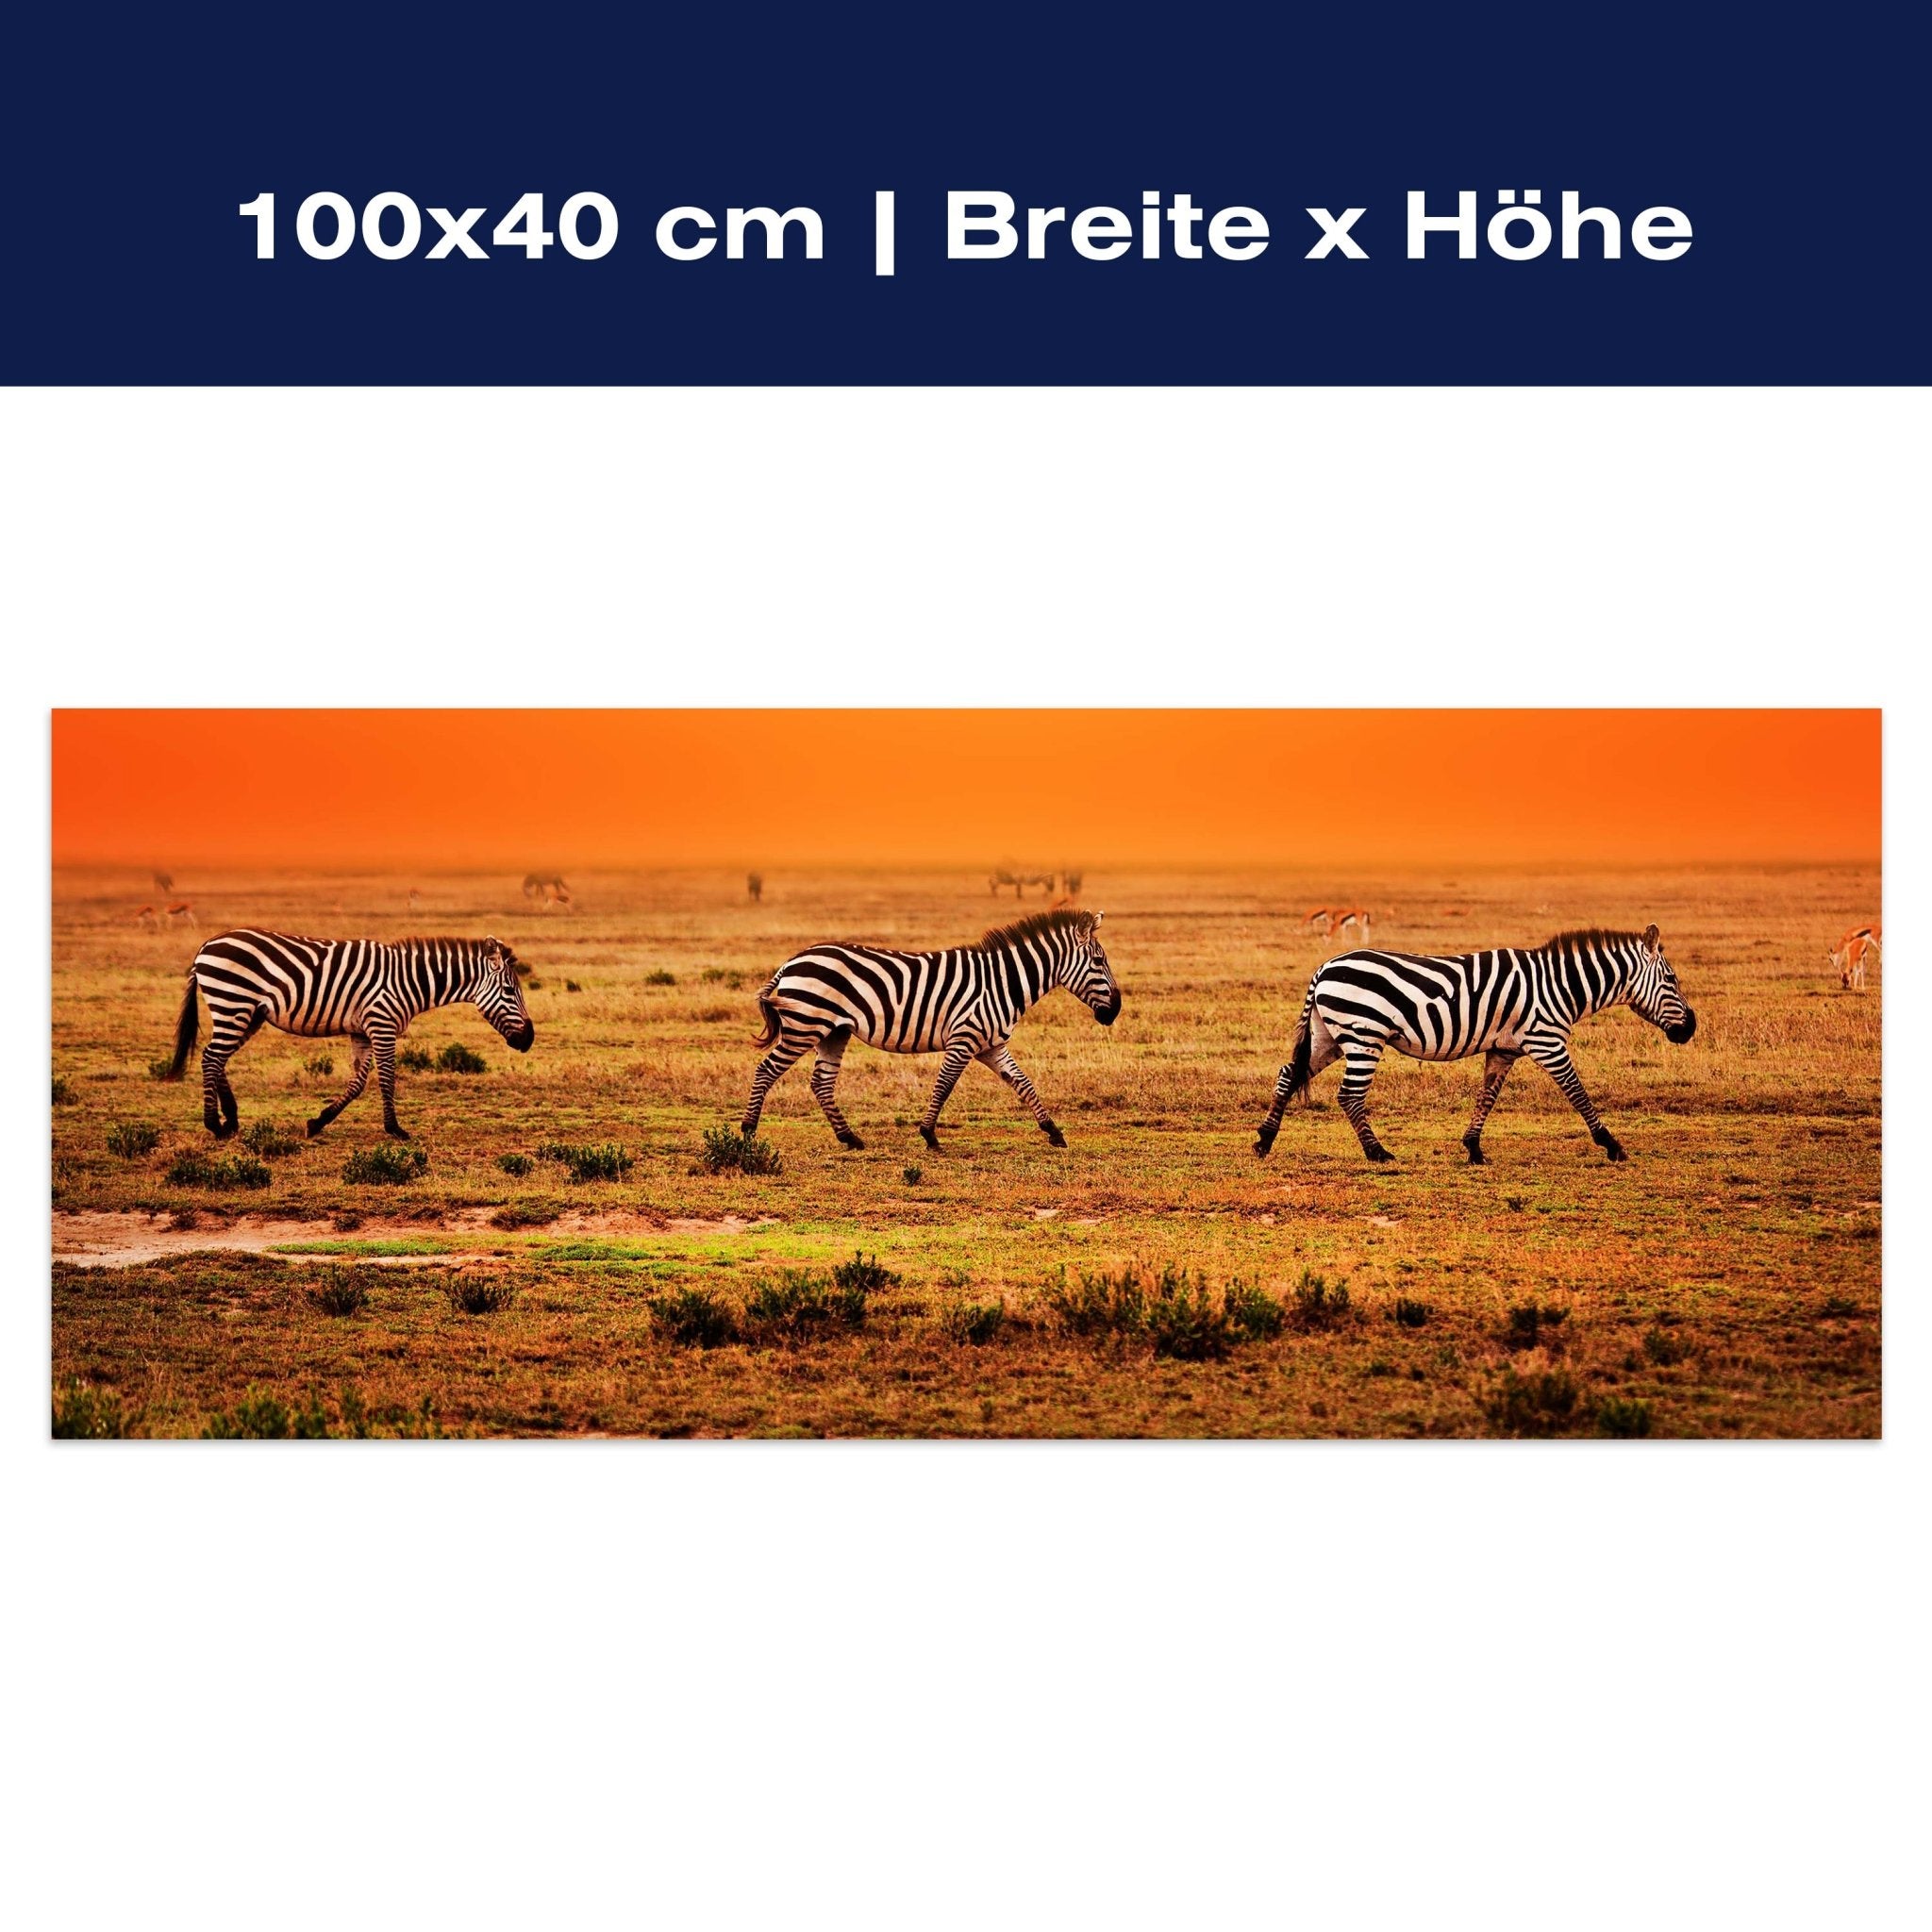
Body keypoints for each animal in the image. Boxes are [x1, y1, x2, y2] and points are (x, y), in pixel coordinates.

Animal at [164, 930, 535, 1140]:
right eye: (508, 990)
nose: (528, 1039)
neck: (409, 981)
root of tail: (206, 945)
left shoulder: (362, 1031)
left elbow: (357, 1083)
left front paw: (318, 1122)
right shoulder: (382, 1025)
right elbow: (387, 1079)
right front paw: (396, 1130)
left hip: (247, 1013)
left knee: (218, 1058)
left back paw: (231, 1120)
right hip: (232, 1002)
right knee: (212, 1057)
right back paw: (214, 1124)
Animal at [740, 907, 1122, 1152]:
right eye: (1099, 961)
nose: (1115, 1010)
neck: (1003, 982)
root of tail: (792, 960)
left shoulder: (991, 1045)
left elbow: (1023, 1084)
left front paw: (1054, 1132)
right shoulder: (964, 1039)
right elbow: (945, 1085)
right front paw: (929, 1136)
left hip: (833, 1030)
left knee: (821, 1082)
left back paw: (850, 1138)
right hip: (805, 1025)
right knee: (766, 1070)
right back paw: (748, 1131)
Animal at [1255, 925, 1696, 1166]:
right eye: (1672, 980)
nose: (1690, 1028)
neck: (1560, 986)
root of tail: (1325, 967)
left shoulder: (1504, 1048)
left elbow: (1487, 1096)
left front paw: (1473, 1149)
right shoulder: (1547, 1041)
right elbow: (1578, 1093)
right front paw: (1612, 1145)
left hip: (1329, 1035)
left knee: (1289, 1073)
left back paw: (1264, 1140)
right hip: (1363, 1035)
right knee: (1349, 1095)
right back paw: (1377, 1153)